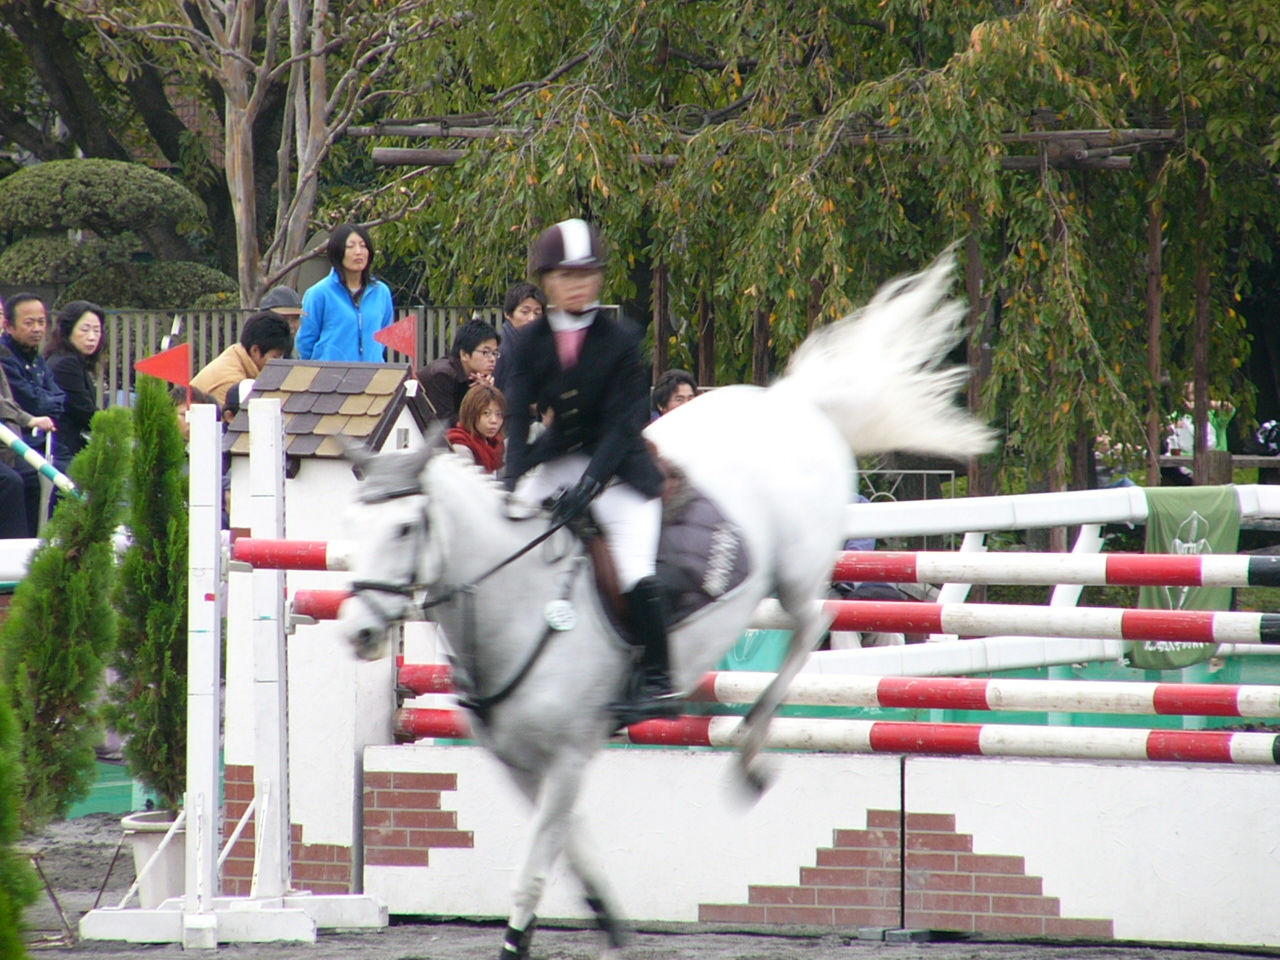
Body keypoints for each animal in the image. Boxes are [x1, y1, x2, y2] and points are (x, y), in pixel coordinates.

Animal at [337, 252, 988, 957]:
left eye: (405, 529)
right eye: (351, 530)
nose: (358, 634)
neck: (518, 604)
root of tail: (787, 401)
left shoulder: (567, 756)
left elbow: (535, 868)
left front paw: (522, 935)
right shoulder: (519, 763)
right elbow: (570, 847)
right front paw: (608, 916)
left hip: (795, 570)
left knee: (811, 626)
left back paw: (748, 752)